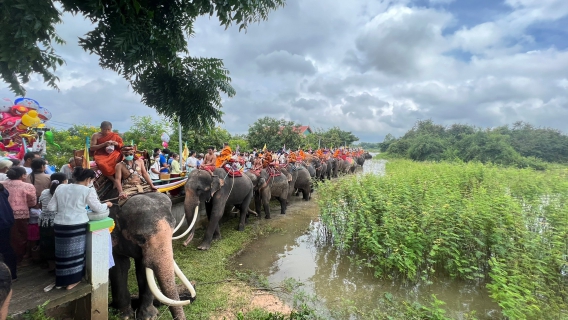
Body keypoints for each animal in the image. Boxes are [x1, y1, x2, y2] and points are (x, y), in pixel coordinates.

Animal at [107, 192, 196, 320]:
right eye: (140, 238)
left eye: (173, 230)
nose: (191, 298)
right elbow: (119, 268)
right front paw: (125, 316)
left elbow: (143, 269)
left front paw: (149, 316)